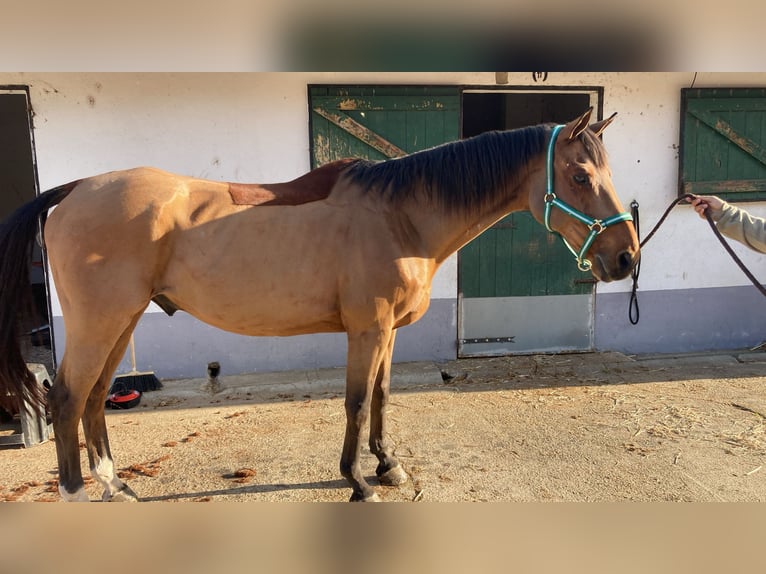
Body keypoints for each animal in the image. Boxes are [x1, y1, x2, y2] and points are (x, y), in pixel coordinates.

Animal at [0, 109, 640, 504]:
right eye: (580, 175)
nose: (626, 257)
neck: (400, 215)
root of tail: (75, 189)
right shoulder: (367, 329)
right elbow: (355, 402)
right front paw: (357, 479)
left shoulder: (388, 332)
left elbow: (381, 396)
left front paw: (387, 464)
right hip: (100, 321)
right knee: (67, 397)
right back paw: (78, 493)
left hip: (123, 320)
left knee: (94, 398)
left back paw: (115, 484)